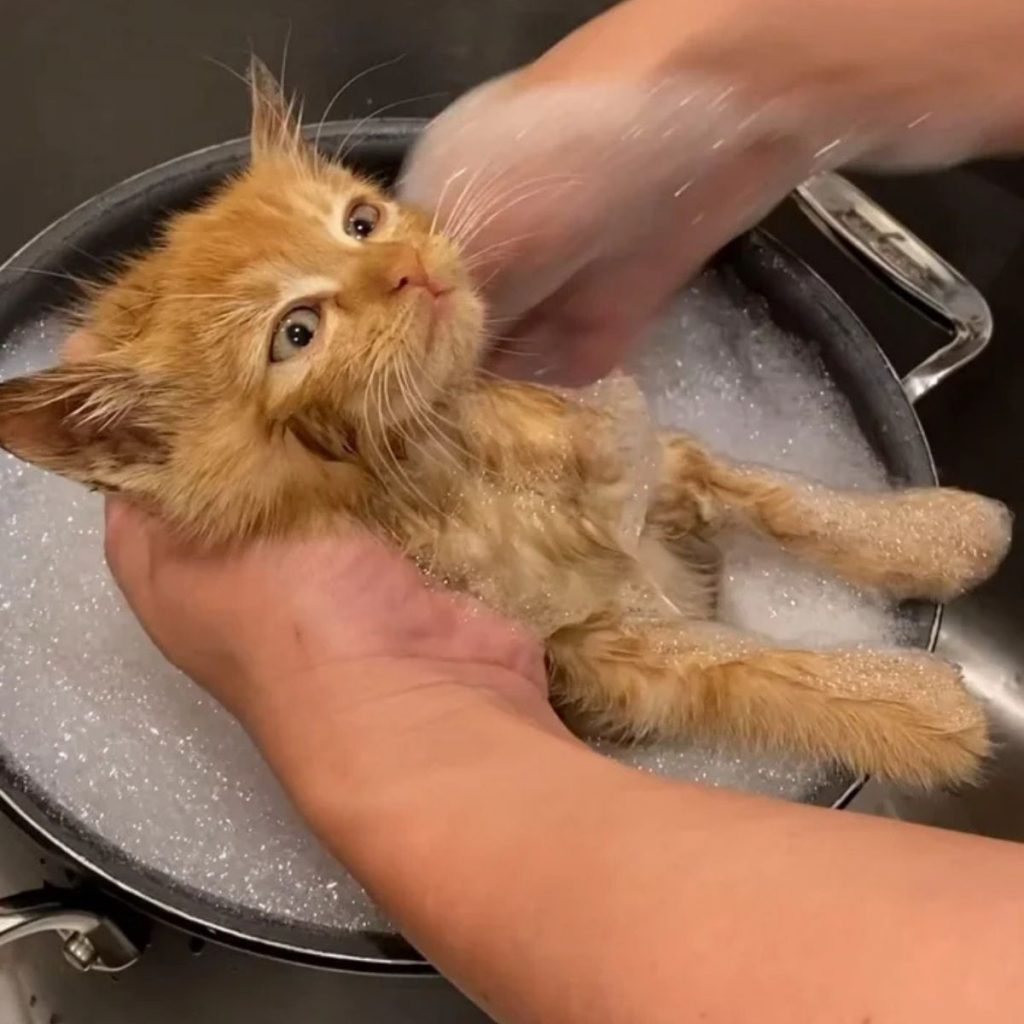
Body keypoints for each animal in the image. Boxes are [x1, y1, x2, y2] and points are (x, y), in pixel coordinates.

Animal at [0, 61, 1007, 782]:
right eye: (297, 333)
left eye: (359, 222)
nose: (406, 270)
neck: (470, 452)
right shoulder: (607, 658)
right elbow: (757, 671)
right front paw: (917, 703)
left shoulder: (658, 456)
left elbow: (790, 498)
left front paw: (940, 531)